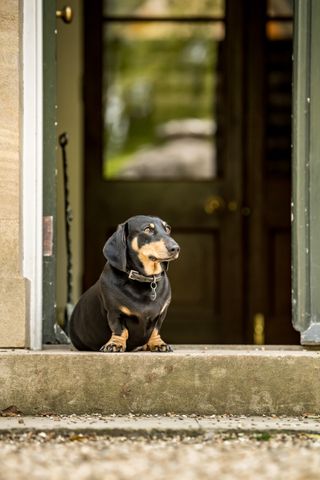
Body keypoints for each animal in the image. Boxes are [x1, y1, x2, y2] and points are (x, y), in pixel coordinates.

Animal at [69, 216, 180, 350]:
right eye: (147, 229)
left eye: (167, 229)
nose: (176, 248)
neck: (143, 279)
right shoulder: (114, 312)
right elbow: (120, 330)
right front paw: (115, 344)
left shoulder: (161, 314)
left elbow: (155, 330)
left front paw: (158, 343)